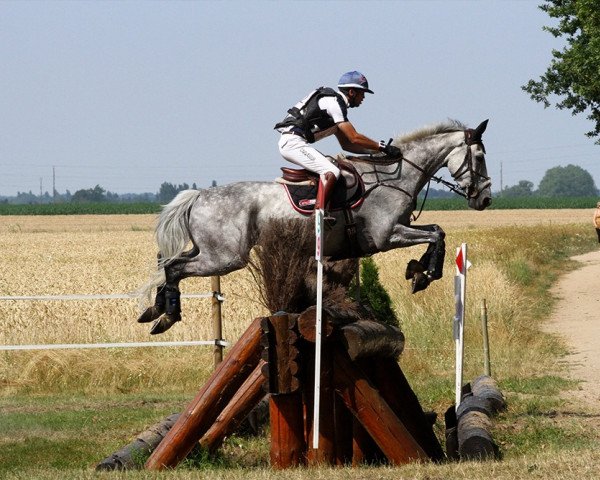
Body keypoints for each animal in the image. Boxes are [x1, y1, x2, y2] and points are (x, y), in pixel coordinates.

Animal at [141, 119, 492, 334]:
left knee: (166, 262)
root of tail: (199, 195)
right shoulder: (386, 236)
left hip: (210, 251)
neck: (396, 177)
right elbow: (436, 234)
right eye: (479, 156)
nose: (485, 199)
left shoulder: (399, 230)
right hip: (225, 257)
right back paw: (167, 314)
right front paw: (424, 274)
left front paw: (419, 271)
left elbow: (436, 231)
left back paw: (155, 310)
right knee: (173, 267)